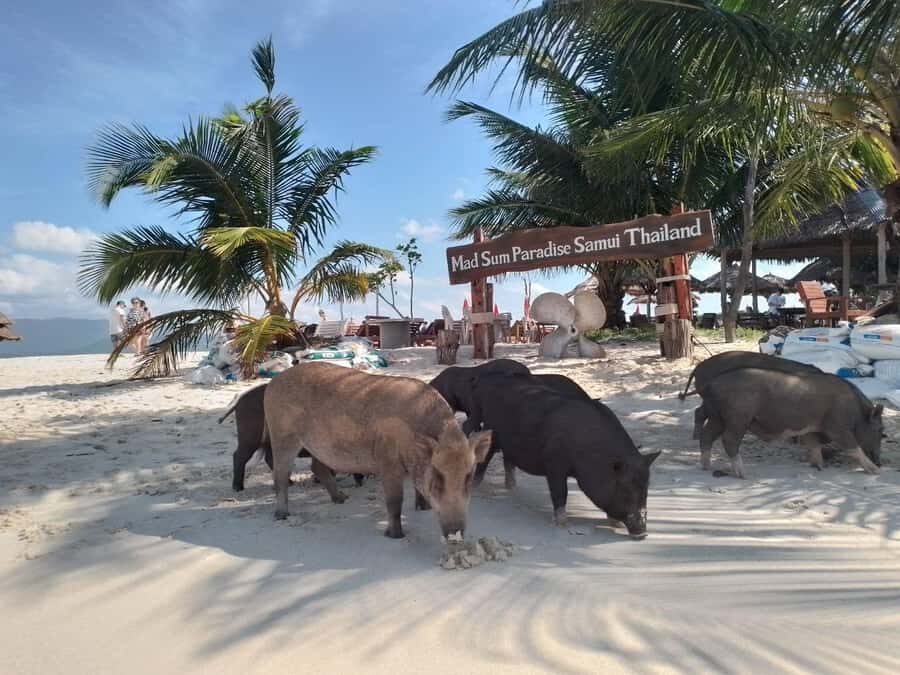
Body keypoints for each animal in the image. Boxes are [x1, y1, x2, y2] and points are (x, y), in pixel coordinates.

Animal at [217, 384, 364, 492]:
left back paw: (289, 482)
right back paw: (238, 487)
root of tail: (240, 399)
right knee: (239, 457)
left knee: (269, 459)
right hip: (249, 440)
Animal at [264, 363, 492, 540]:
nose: (455, 535)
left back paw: (341, 499)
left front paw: (424, 509)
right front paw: (395, 536)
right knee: (280, 474)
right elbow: (394, 499)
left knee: (317, 467)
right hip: (282, 433)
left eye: (468, 477)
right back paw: (282, 515)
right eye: (437, 476)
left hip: (319, 446)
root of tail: (272, 384)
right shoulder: (388, 461)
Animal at [466, 372, 659, 538]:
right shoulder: (554, 465)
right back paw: (475, 489)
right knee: (485, 457)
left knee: (508, 459)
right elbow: (560, 493)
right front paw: (563, 524)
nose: (642, 533)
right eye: (624, 489)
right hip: (490, 429)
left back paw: (512, 488)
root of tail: (485, 382)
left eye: (646, 488)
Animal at [698, 367, 883, 477]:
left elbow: (813, 445)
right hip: (737, 418)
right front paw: (875, 471)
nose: (880, 461)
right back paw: (743, 473)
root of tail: (712, 383)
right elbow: (853, 447)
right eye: (880, 430)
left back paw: (707, 467)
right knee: (729, 440)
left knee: (706, 436)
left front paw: (820, 466)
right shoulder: (837, 427)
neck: (856, 411)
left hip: (717, 418)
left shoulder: (812, 429)